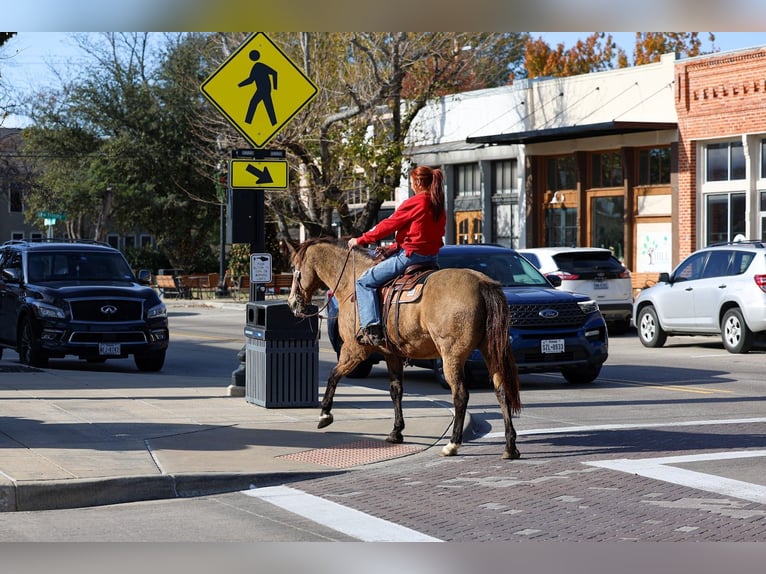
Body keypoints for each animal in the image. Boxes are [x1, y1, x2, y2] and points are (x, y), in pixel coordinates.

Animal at [287, 237, 522, 460]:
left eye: (295, 269)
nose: (291, 303)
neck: (351, 283)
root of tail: (482, 283)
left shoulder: (354, 350)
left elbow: (333, 376)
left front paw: (325, 414)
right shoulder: (392, 354)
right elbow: (396, 390)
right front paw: (396, 432)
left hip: (452, 356)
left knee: (461, 395)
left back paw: (453, 444)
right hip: (489, 352)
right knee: (501, 391)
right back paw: (510, 446)